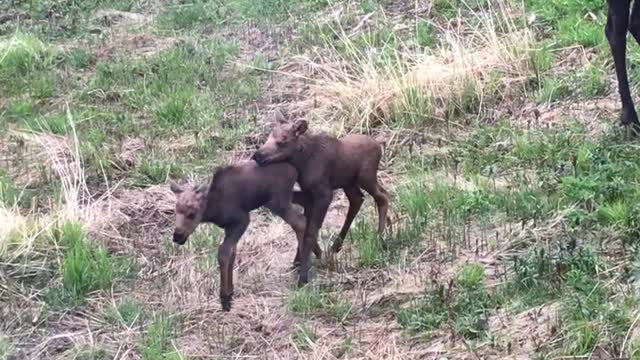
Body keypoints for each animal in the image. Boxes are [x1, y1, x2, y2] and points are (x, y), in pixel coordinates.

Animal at [251, 109, 390, 284]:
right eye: (268, 136)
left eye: (282, 141)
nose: (257, 156)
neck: (302, 162)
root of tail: (379, 146)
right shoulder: (310, 195)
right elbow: (305, 226)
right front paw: (298, 262)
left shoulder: (324, 194)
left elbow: (311, 230)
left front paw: (303, 275)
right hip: (349, 183)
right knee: (359, 200)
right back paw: (337, 245)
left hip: (366, 177)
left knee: (382, 197)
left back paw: (379, 238)